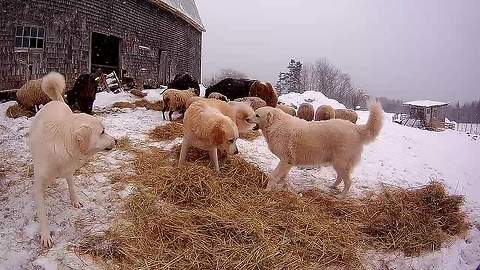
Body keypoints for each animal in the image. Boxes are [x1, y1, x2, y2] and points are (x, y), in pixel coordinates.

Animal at [30, 71, 116, 247]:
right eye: (102, 132)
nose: (116, 141)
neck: (61, 143)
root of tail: (56, 101)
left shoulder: (68, 168)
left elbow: (71, 184)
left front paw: (74, 199)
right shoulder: (39, 185)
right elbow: (42, 214)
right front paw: (45, 235)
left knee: (70, 182)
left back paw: (74, 199)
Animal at [249, 100, 384, 197]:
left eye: (257, 115)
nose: (247, 118)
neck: (276, 125)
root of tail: (357, 129)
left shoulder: (284, 161)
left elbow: (272, 176)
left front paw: (267, 189)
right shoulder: (287, 163)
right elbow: (282, 176)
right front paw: (281, 184)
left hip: (341, 163)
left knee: (348, 182)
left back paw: (341, 196)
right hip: (338, 164)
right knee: (340, 178)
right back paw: (333, 186)